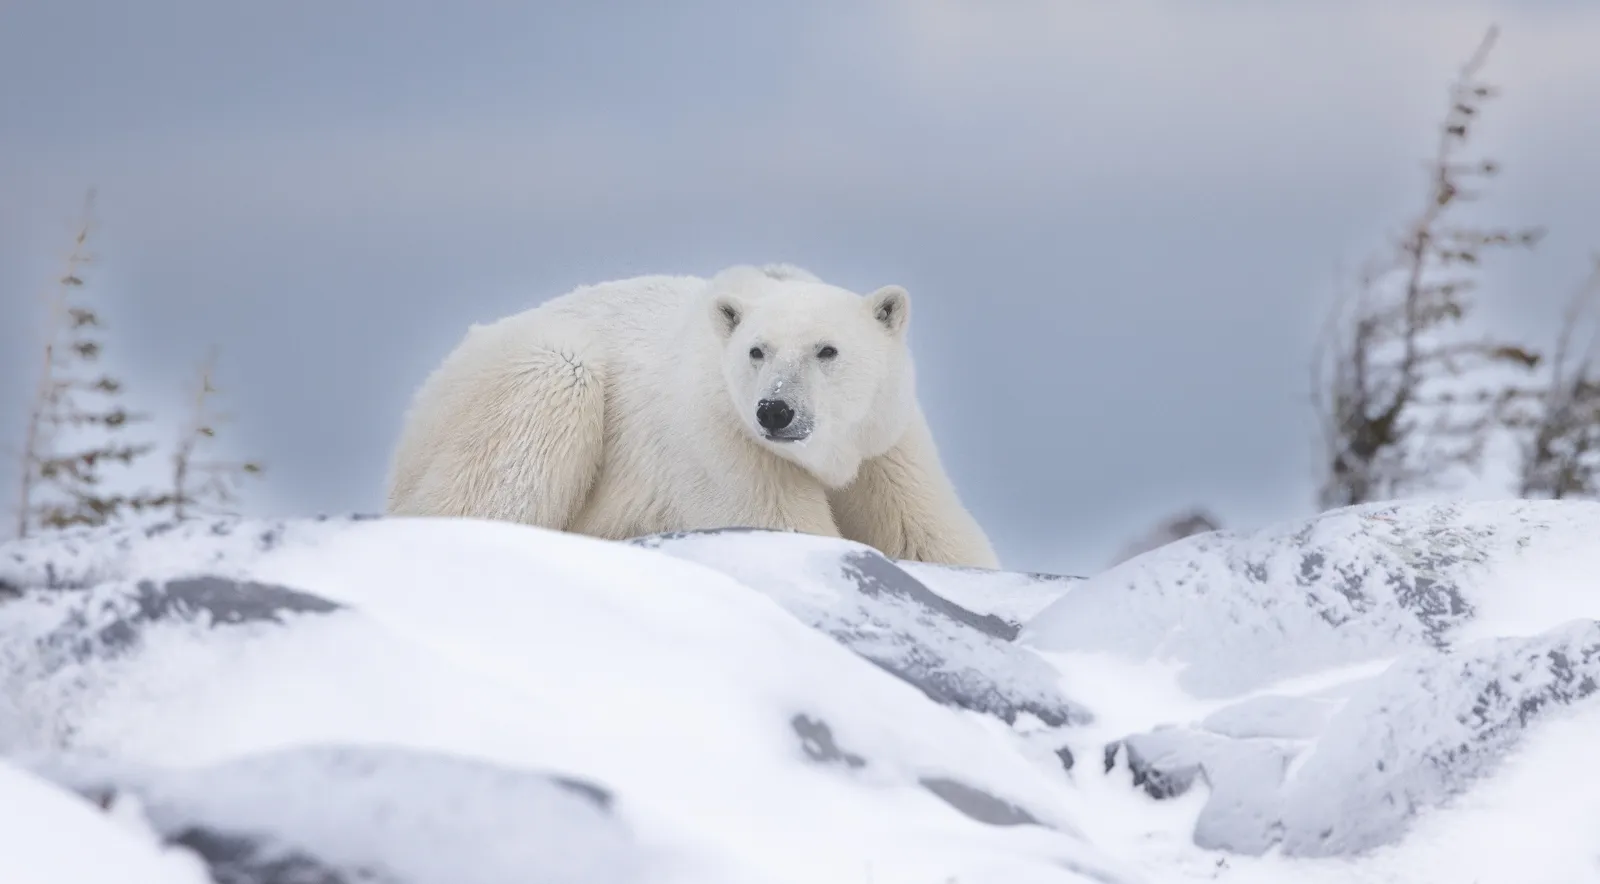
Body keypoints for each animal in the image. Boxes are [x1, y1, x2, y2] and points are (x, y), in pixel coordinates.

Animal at [383, 263, 1001, 569]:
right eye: (757, 351)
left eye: (827, 350)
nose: (776, 411)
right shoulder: (722, 438)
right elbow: (781, 524)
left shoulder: (886, 439)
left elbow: (928, 532)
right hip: (518, 379)